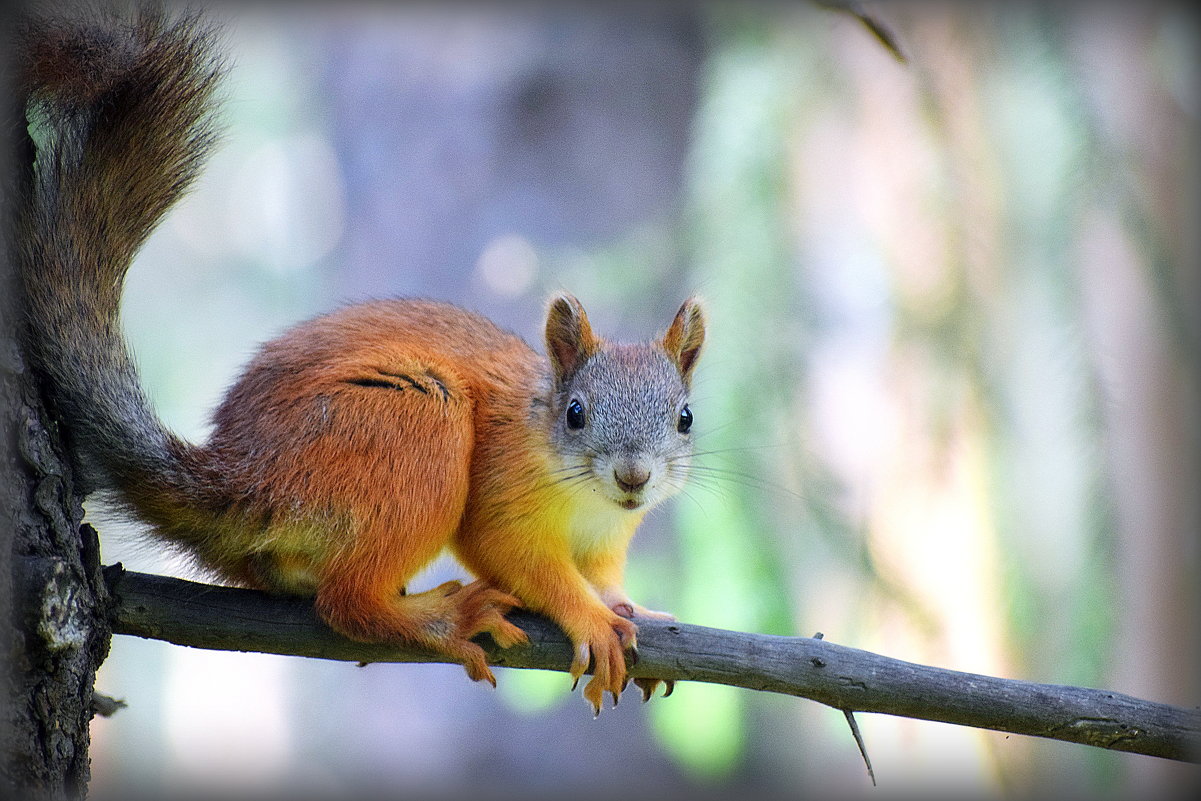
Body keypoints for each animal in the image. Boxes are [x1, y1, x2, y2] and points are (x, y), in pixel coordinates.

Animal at [14, 10, 701, 715]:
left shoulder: (605, 541)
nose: (634, 477)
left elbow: (605, 579)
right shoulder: (501, 492)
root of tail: (242, 479)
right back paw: (439, 618)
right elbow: (522, 563)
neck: (588, 501)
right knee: (348, 602)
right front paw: (591, 618)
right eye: (576, 413)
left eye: (684, 418)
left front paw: (631, 609)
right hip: (412, 430)